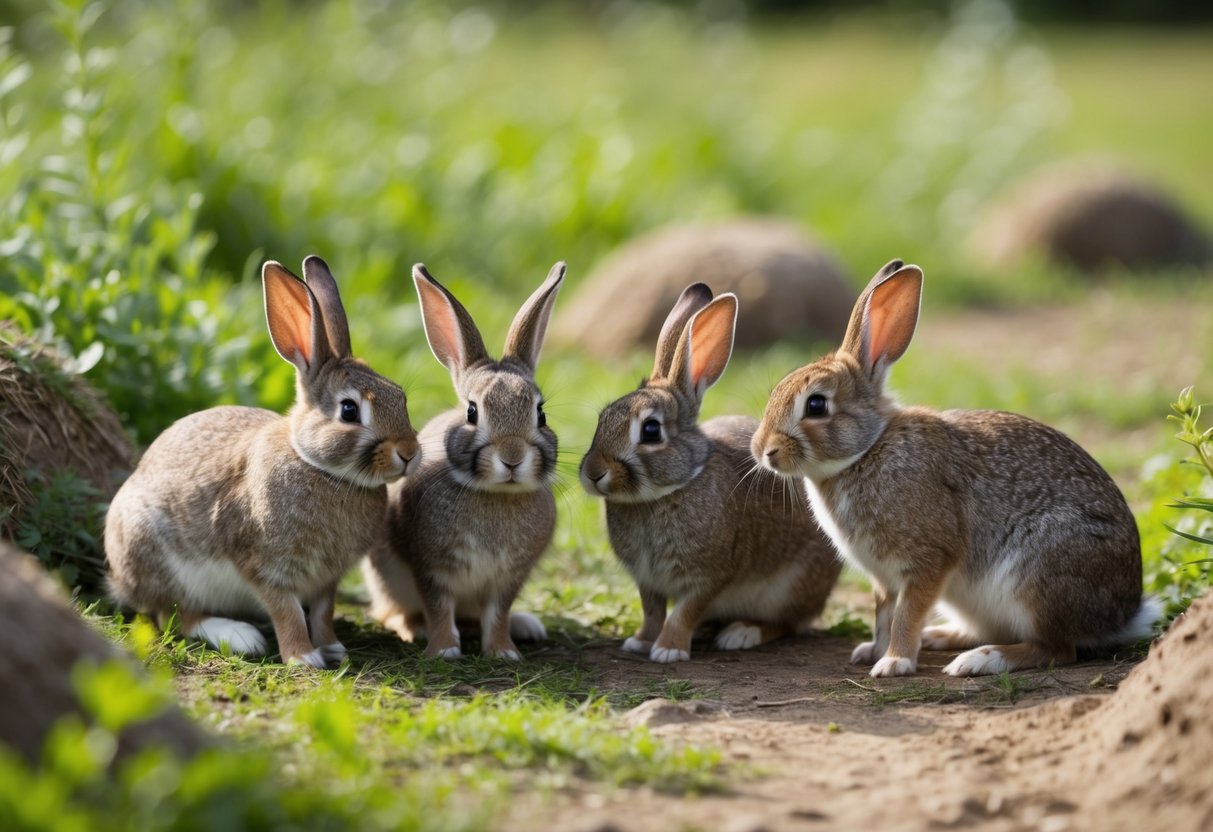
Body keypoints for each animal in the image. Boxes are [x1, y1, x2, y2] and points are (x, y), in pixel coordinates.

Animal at [101, 257, 422, 669]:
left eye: (400, 397)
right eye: (349, 410)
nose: (410, 453)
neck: (320, 468)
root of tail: (119, 580)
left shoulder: (326, 579)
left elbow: (323, 611)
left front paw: (333, 647)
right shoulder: (265, 567)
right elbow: (286, 611)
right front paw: (303, 657)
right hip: (156, 556)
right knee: (174, 614)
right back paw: (239, 636)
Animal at [361, 264, 565, 659]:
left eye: (541, 414)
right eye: (472, 412)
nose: (512, 458)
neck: (495, 494)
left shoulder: (508, 579)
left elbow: (498, 613)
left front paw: (503, 651)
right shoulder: (431, 568)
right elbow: (439, 608)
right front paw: (443, 650)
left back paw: (525, 626)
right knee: (390, 611)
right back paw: (414, 629)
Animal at [577, 285, 844, 664]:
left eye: (651, 431)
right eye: (603, 419)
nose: (593, 473)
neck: (666, 492)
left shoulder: (708, 576)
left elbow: (684, 612)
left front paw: (668, 650)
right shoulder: (648, 581)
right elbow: (652, 611)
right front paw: (640, 642)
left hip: (790, 588)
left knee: (789, 623)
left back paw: (742, 633)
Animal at [752, 259, 1159, 679]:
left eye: (816, 405)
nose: (763, 451)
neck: (866, 451)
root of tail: (1123, 614)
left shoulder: (928, 561)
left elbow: (905, 615)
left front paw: (894, 663)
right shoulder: (884, 579)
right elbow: (883, 616)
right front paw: (872, 652)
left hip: (1036, 578)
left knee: (1057, 649)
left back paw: (980, 660)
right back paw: (942, 637)